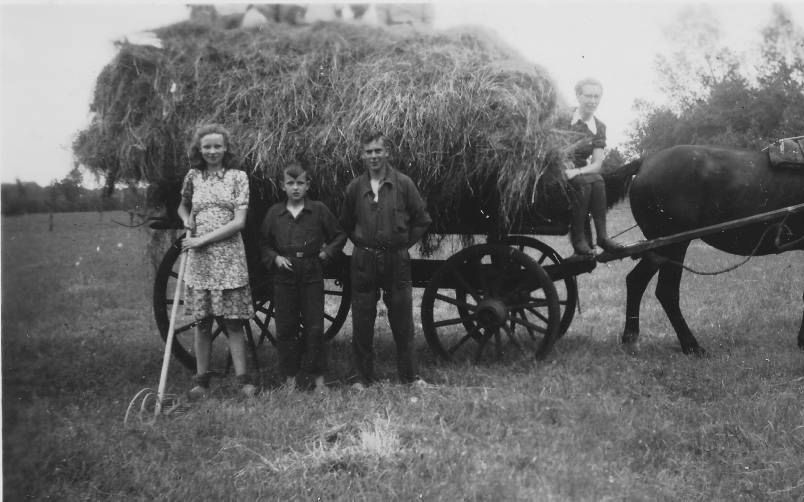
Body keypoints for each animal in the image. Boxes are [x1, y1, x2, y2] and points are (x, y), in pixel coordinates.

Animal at [604, 143, 804, 354]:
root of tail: (645, 162)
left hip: (660, 249)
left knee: (636, 281)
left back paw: (630, 338)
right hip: (673, 245)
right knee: (666, 291)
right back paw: (691, 345)